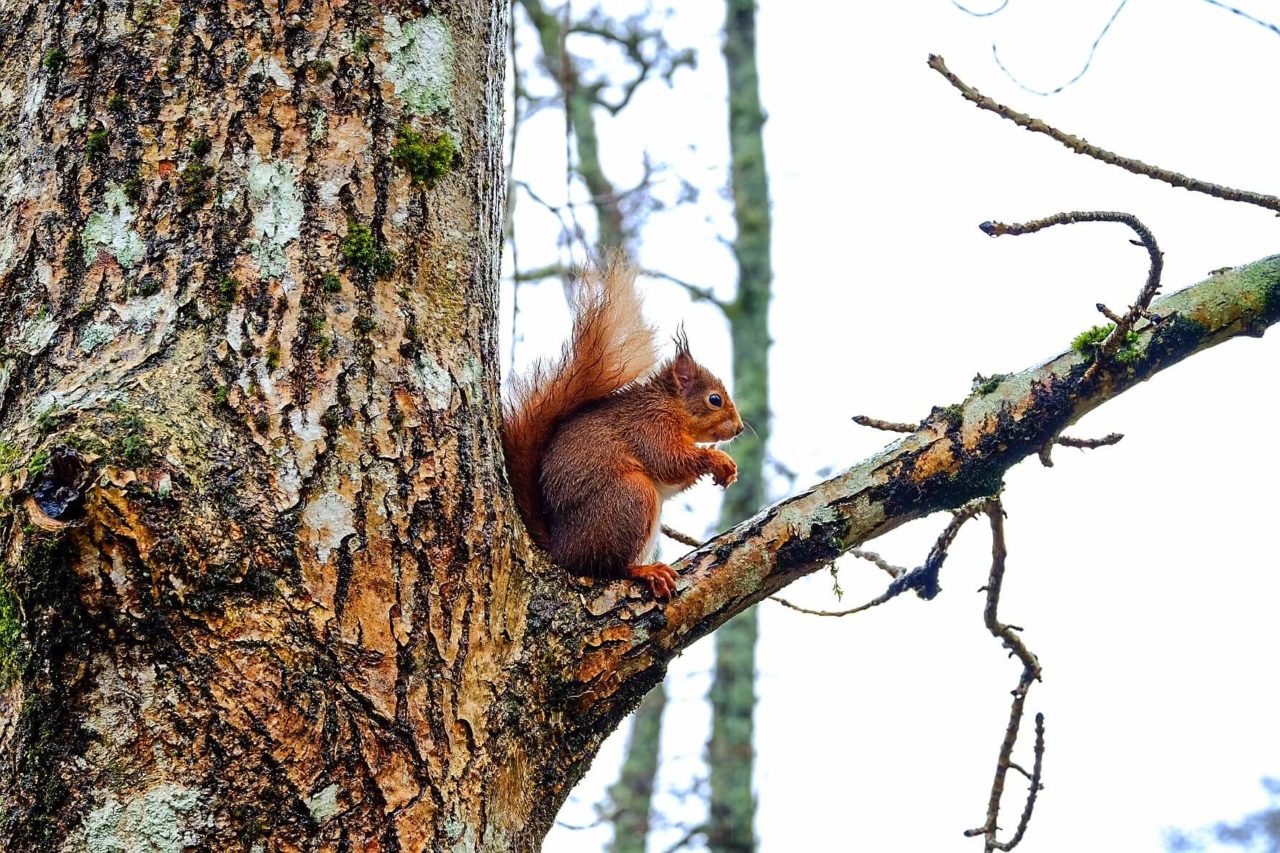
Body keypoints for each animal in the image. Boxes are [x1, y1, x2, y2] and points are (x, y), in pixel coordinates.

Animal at [499, 256, 742, 594]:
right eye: (715, 399)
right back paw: (644, 570)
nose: (739, 428)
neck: (669, 405)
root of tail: (562, 550)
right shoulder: (649, 426)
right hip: (631, 497)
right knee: (609, 567)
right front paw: (716, 458)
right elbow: (668, 460)